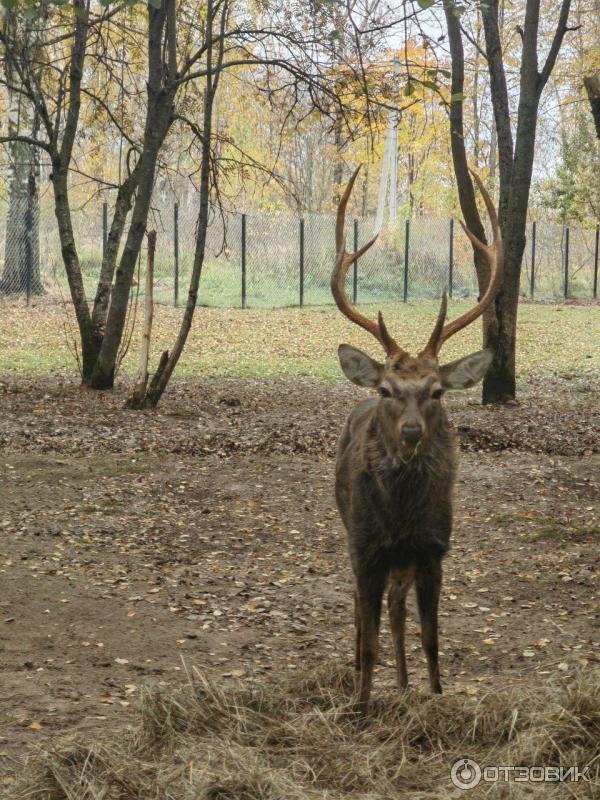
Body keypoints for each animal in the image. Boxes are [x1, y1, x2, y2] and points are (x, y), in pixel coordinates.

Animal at [332, 167, 502, 708]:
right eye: (387, 388)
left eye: (437, 391)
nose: (411, 431)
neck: (401, 516)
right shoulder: (365, 548)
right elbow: (368, 640)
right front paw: (361, 703)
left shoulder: (432, 551)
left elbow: (430, 638)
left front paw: (435, 695)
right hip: (351, 534)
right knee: (360, 612)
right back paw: (357, 675)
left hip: (403, 564)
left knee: (394, 607)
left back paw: (405, 685)